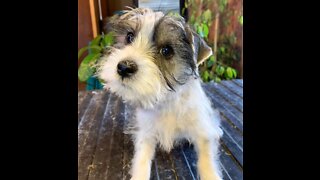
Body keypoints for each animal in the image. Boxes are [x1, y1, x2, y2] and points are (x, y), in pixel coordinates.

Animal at [97, 7, 222, 180]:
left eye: (166, 50)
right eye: (129, 37)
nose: (124, 67)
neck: (166, 101)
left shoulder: (202, 133)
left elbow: (206, 161)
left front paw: (211, 174)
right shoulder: (146, 135)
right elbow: (142, 160)